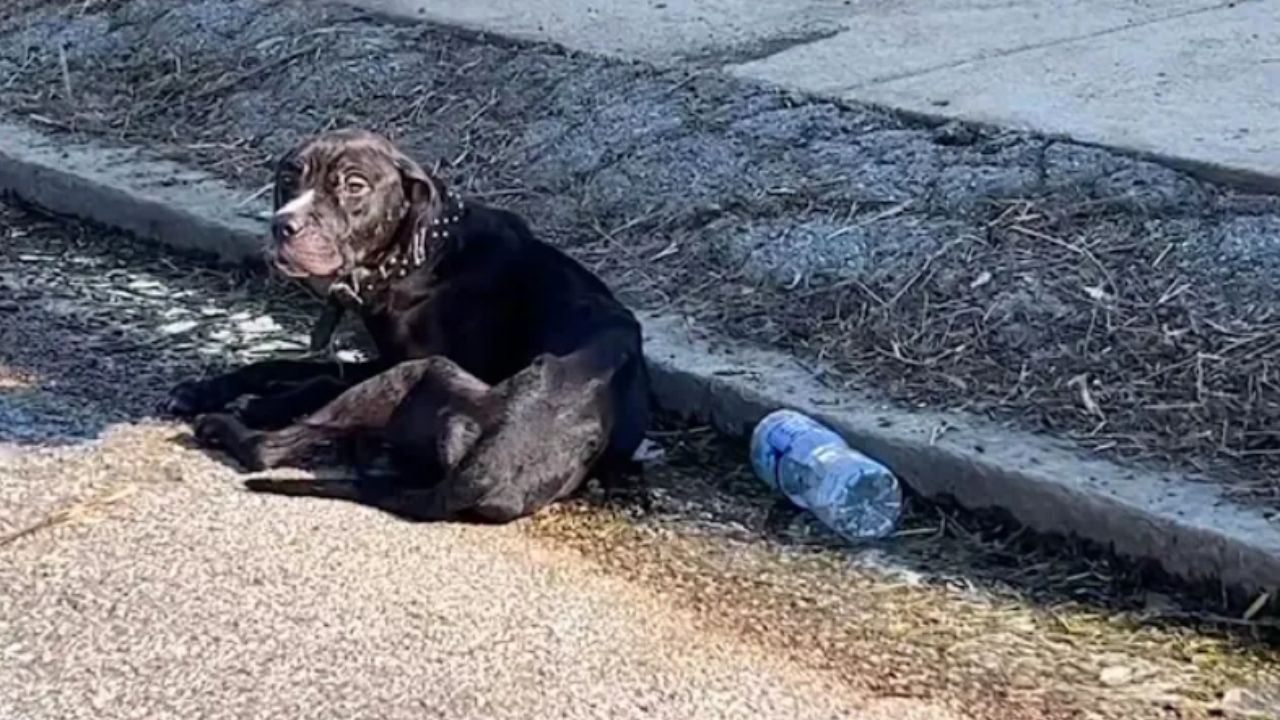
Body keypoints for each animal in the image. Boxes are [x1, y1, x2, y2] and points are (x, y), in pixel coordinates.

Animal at [165, 128, 650, 517]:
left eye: (354, 185)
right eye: (288, 178)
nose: (283, 225)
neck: (424, 251)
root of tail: (485, 466)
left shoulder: (394, 361)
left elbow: (316, 378)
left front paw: (264, 403)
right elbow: (281, 364)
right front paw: (205, 388)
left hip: (417, 374)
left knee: (268, 449)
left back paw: (225, 427)